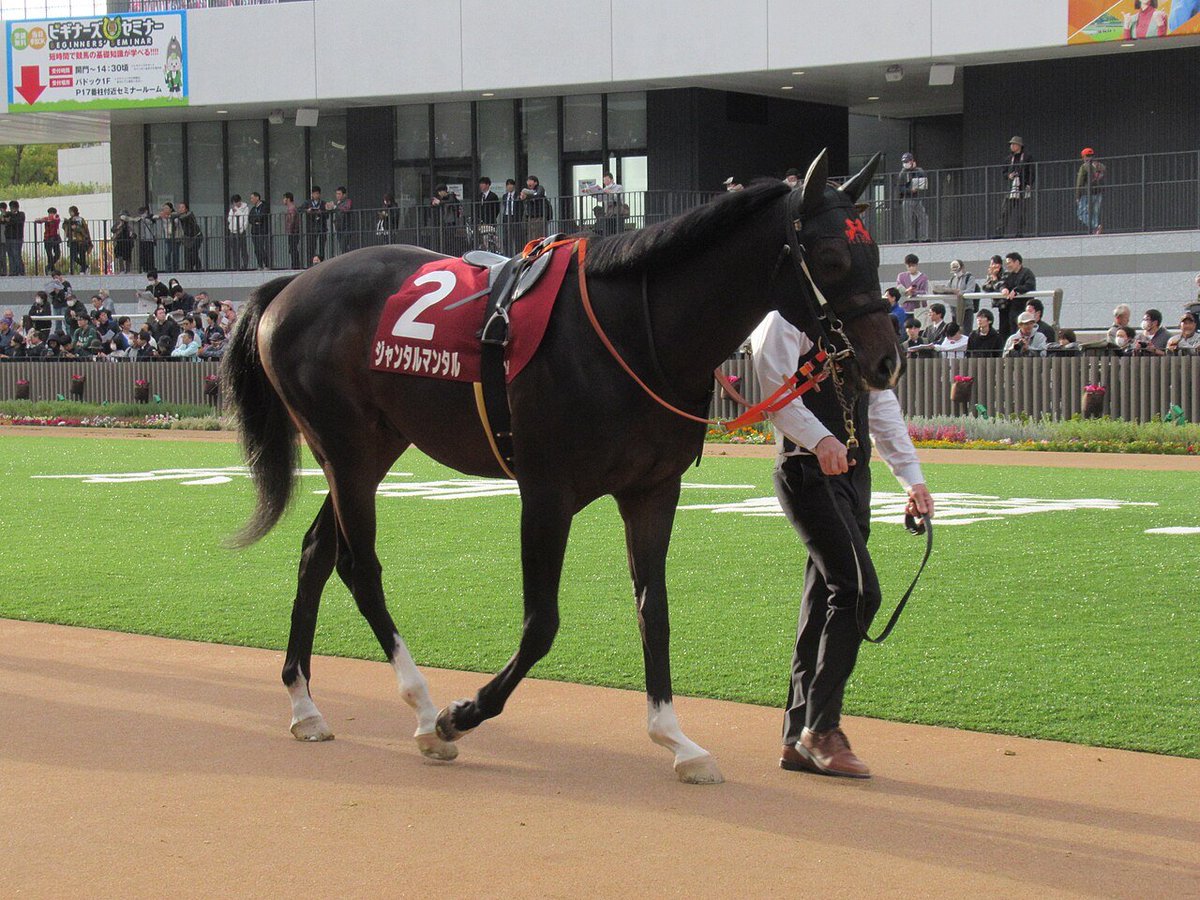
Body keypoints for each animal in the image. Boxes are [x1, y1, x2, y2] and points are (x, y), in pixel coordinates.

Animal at [222, 150, 898, 784]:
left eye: (874, 251)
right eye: (832, 256)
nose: (887, 362)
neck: (635, 333)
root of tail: (292, 285)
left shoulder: (654, 490)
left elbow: (654, 609)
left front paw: (676, 739)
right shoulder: (546, 492)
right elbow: (541, 622)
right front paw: (462, 714)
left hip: (373, 448)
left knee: (317, 552)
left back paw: (305, 705)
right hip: (346, 448)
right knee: (359, 567)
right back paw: (423, 710)